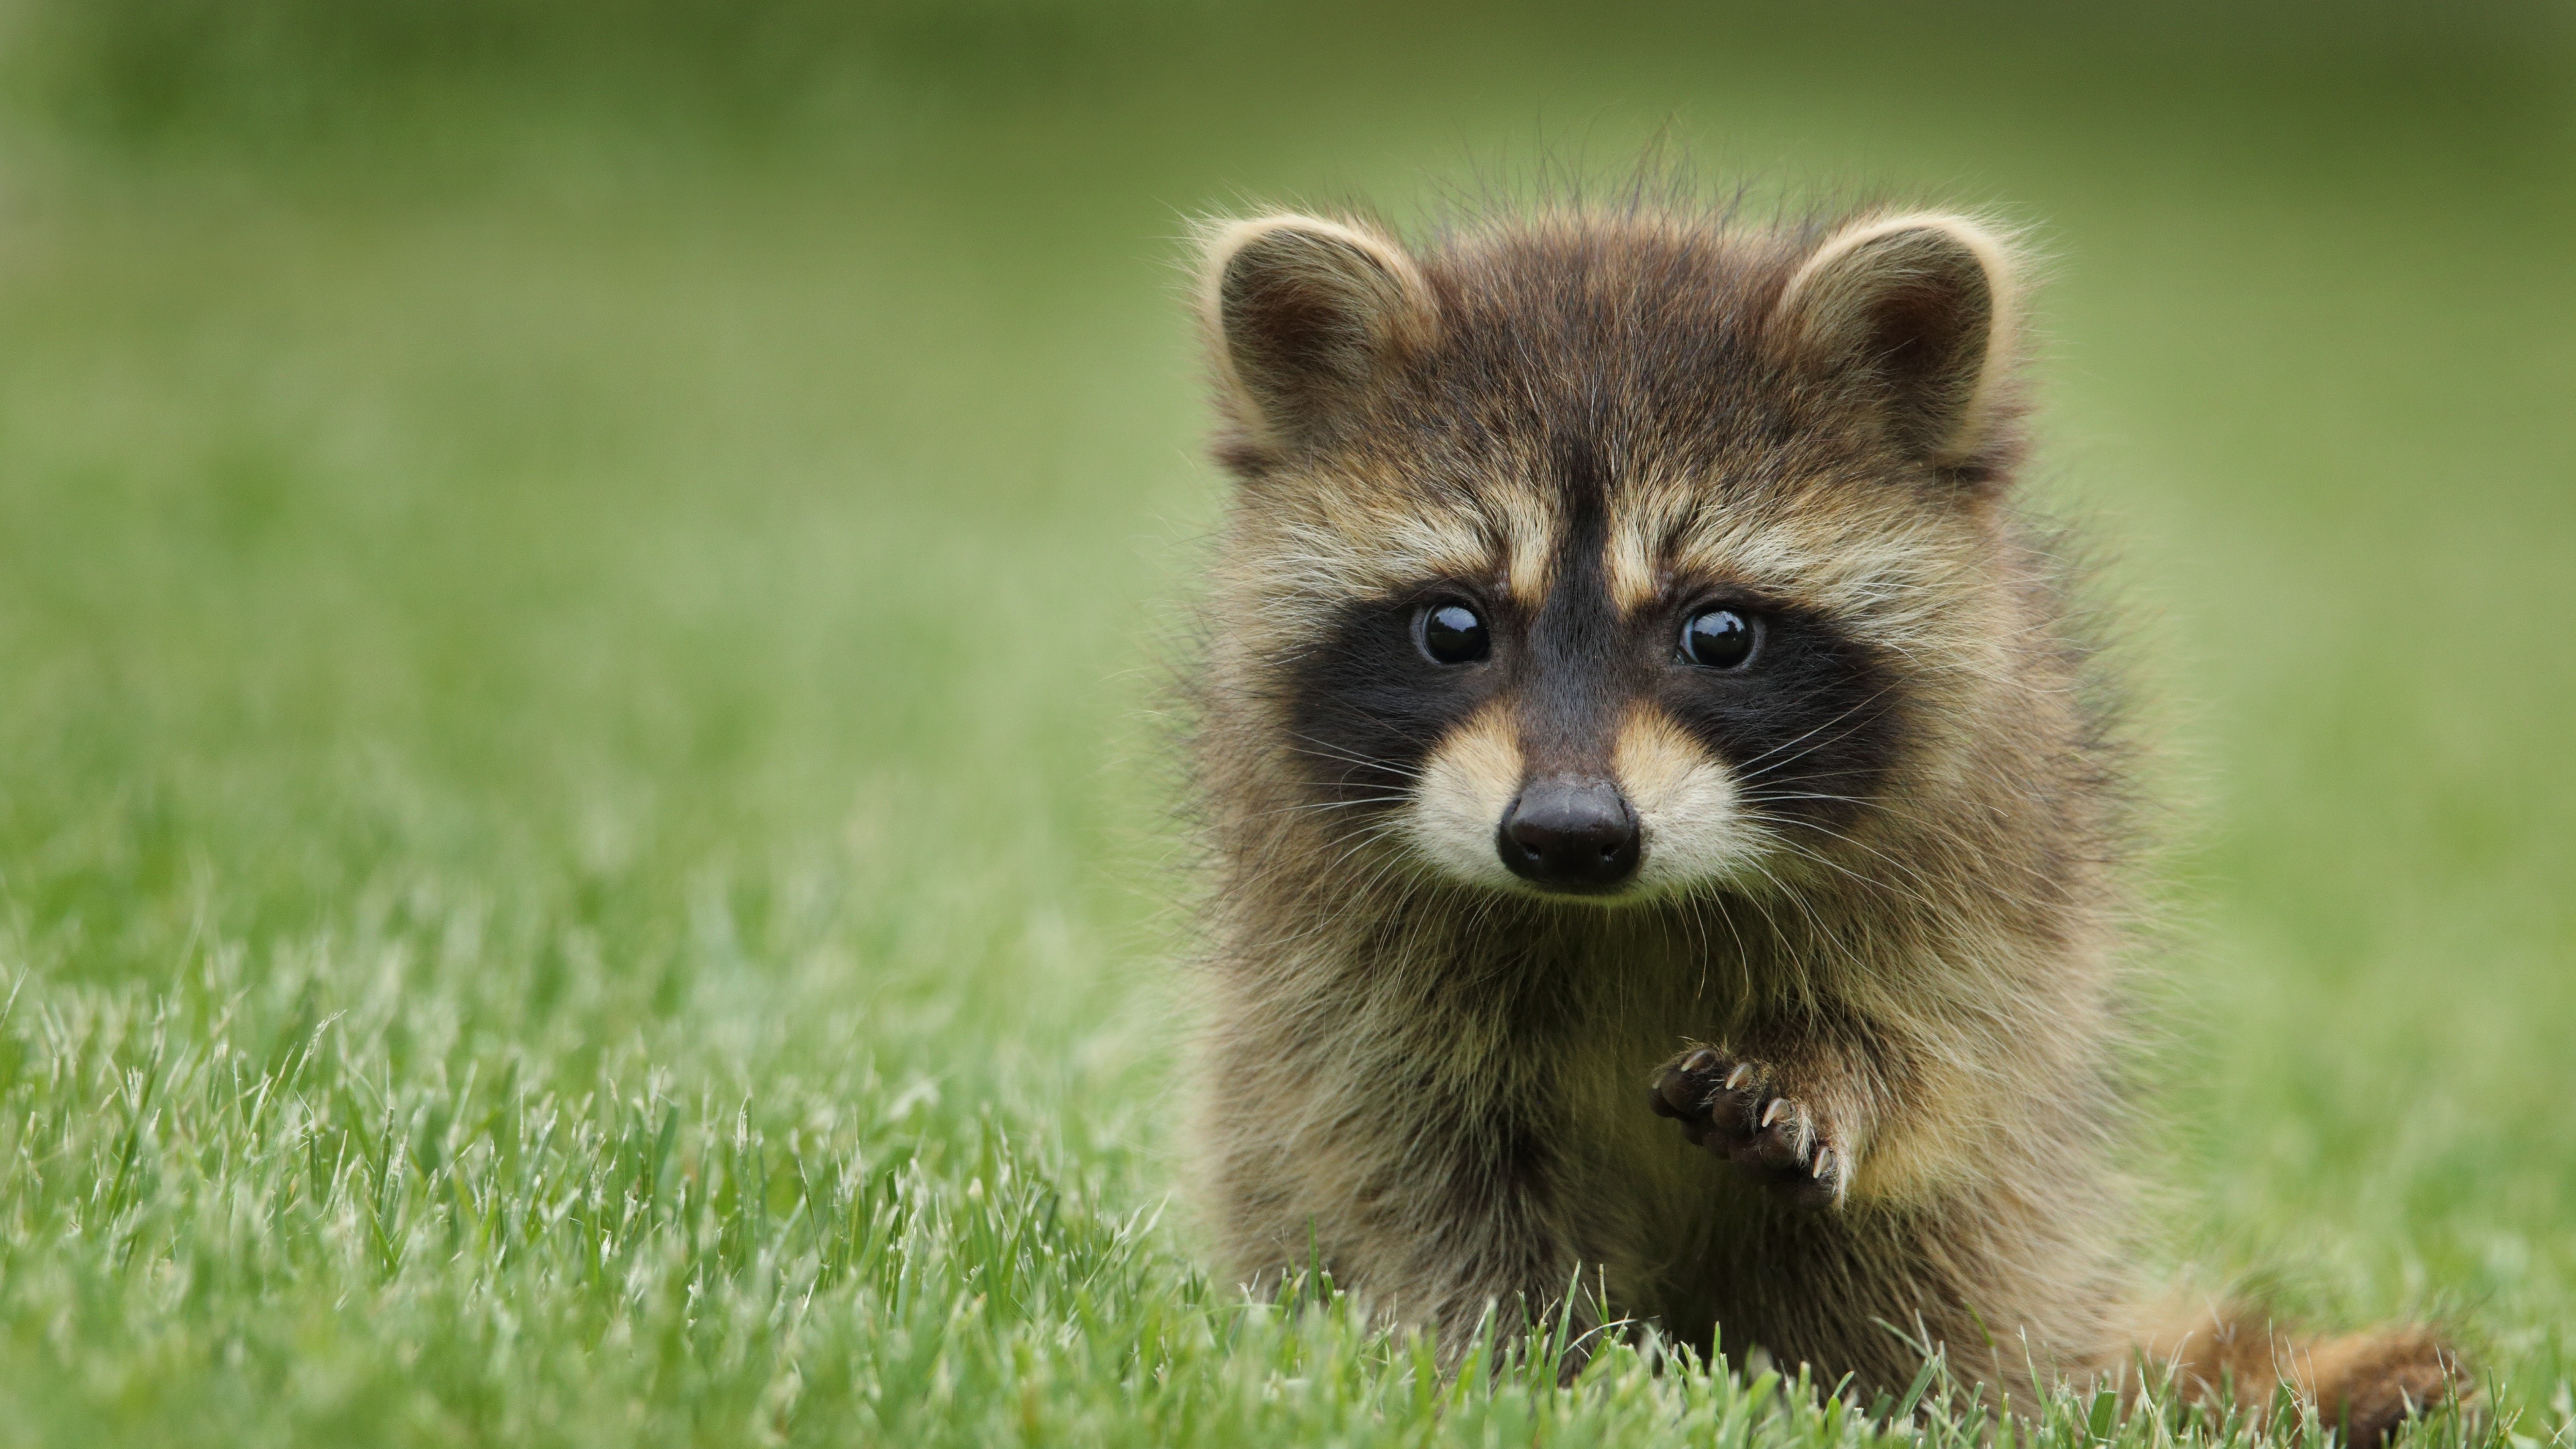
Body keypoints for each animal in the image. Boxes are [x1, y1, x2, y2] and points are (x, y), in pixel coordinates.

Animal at [1179, 197, 2463, 1433]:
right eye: (1454, 627)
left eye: (1719, 633)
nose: (1569, 835)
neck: (1620, 912)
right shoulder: (1334, 948)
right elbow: (1409, 1159)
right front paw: (1521, 1368)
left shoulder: (1991, 848)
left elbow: (1942, 1049)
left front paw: (1833, 1071)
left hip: (2019, 1220)